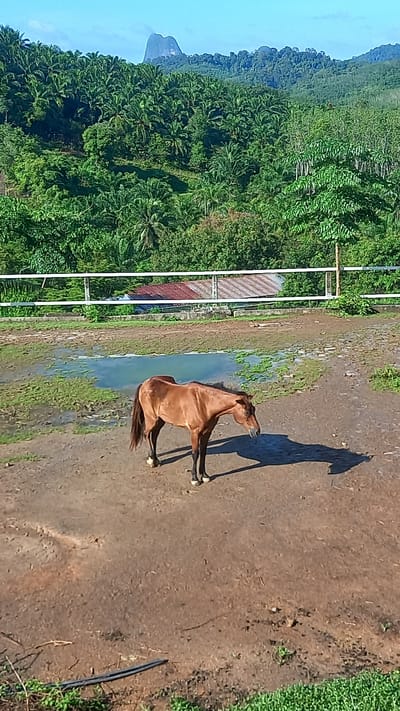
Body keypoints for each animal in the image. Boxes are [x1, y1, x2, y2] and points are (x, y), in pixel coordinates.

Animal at [130, 375, 261, 486]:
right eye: (246, 412)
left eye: (254, 409)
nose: (257, 431)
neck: (204, 403)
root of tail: (145, 383)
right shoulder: (194, 433)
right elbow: (195, 454)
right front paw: (195, 479)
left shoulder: (207, 433)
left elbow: (203, 453)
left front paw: (204, 476)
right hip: (151, 419)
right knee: (147, 434)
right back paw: (151, 460)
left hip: (161, 420)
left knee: (154, 436)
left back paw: (156, 459)